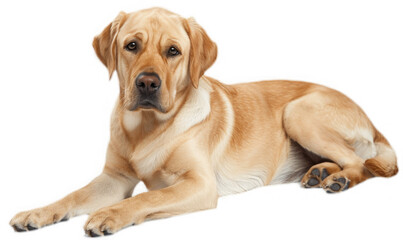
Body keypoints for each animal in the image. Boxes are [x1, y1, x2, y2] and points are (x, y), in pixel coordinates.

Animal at [9, 7, 398, 236]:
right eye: (132, 45)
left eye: (173, 51)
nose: (147, 83)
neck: (147, 128)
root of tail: (370, 118)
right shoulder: (114, 179)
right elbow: (72, 195)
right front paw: (37, 213)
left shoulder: (199, 184)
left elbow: (146, 198)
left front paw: (111, 215)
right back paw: (320, 173)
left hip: (298, 113)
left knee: (361, 163)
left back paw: (338, 180)